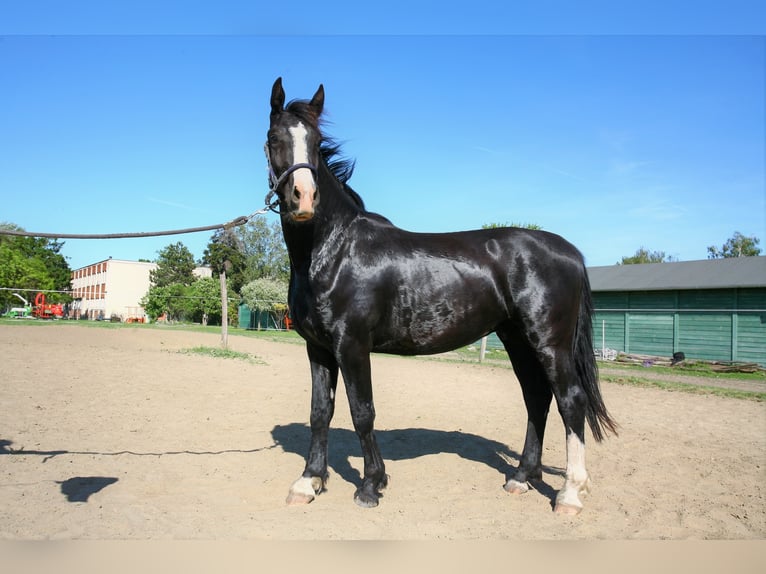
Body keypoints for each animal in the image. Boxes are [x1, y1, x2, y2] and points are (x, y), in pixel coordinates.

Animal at [266, 77, 616, 516]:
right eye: (274, 138)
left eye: (315, 141)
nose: (304, 198)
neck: (334, 249)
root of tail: (570, 252)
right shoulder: (318, 347)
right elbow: (320, 412)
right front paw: (309, 481)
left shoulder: (352, 345)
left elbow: (362, 412)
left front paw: (370, 485)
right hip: (517, 339)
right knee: (537, 398)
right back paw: (521, 477)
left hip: (550, 342)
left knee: (571, 400)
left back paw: (569, 494)